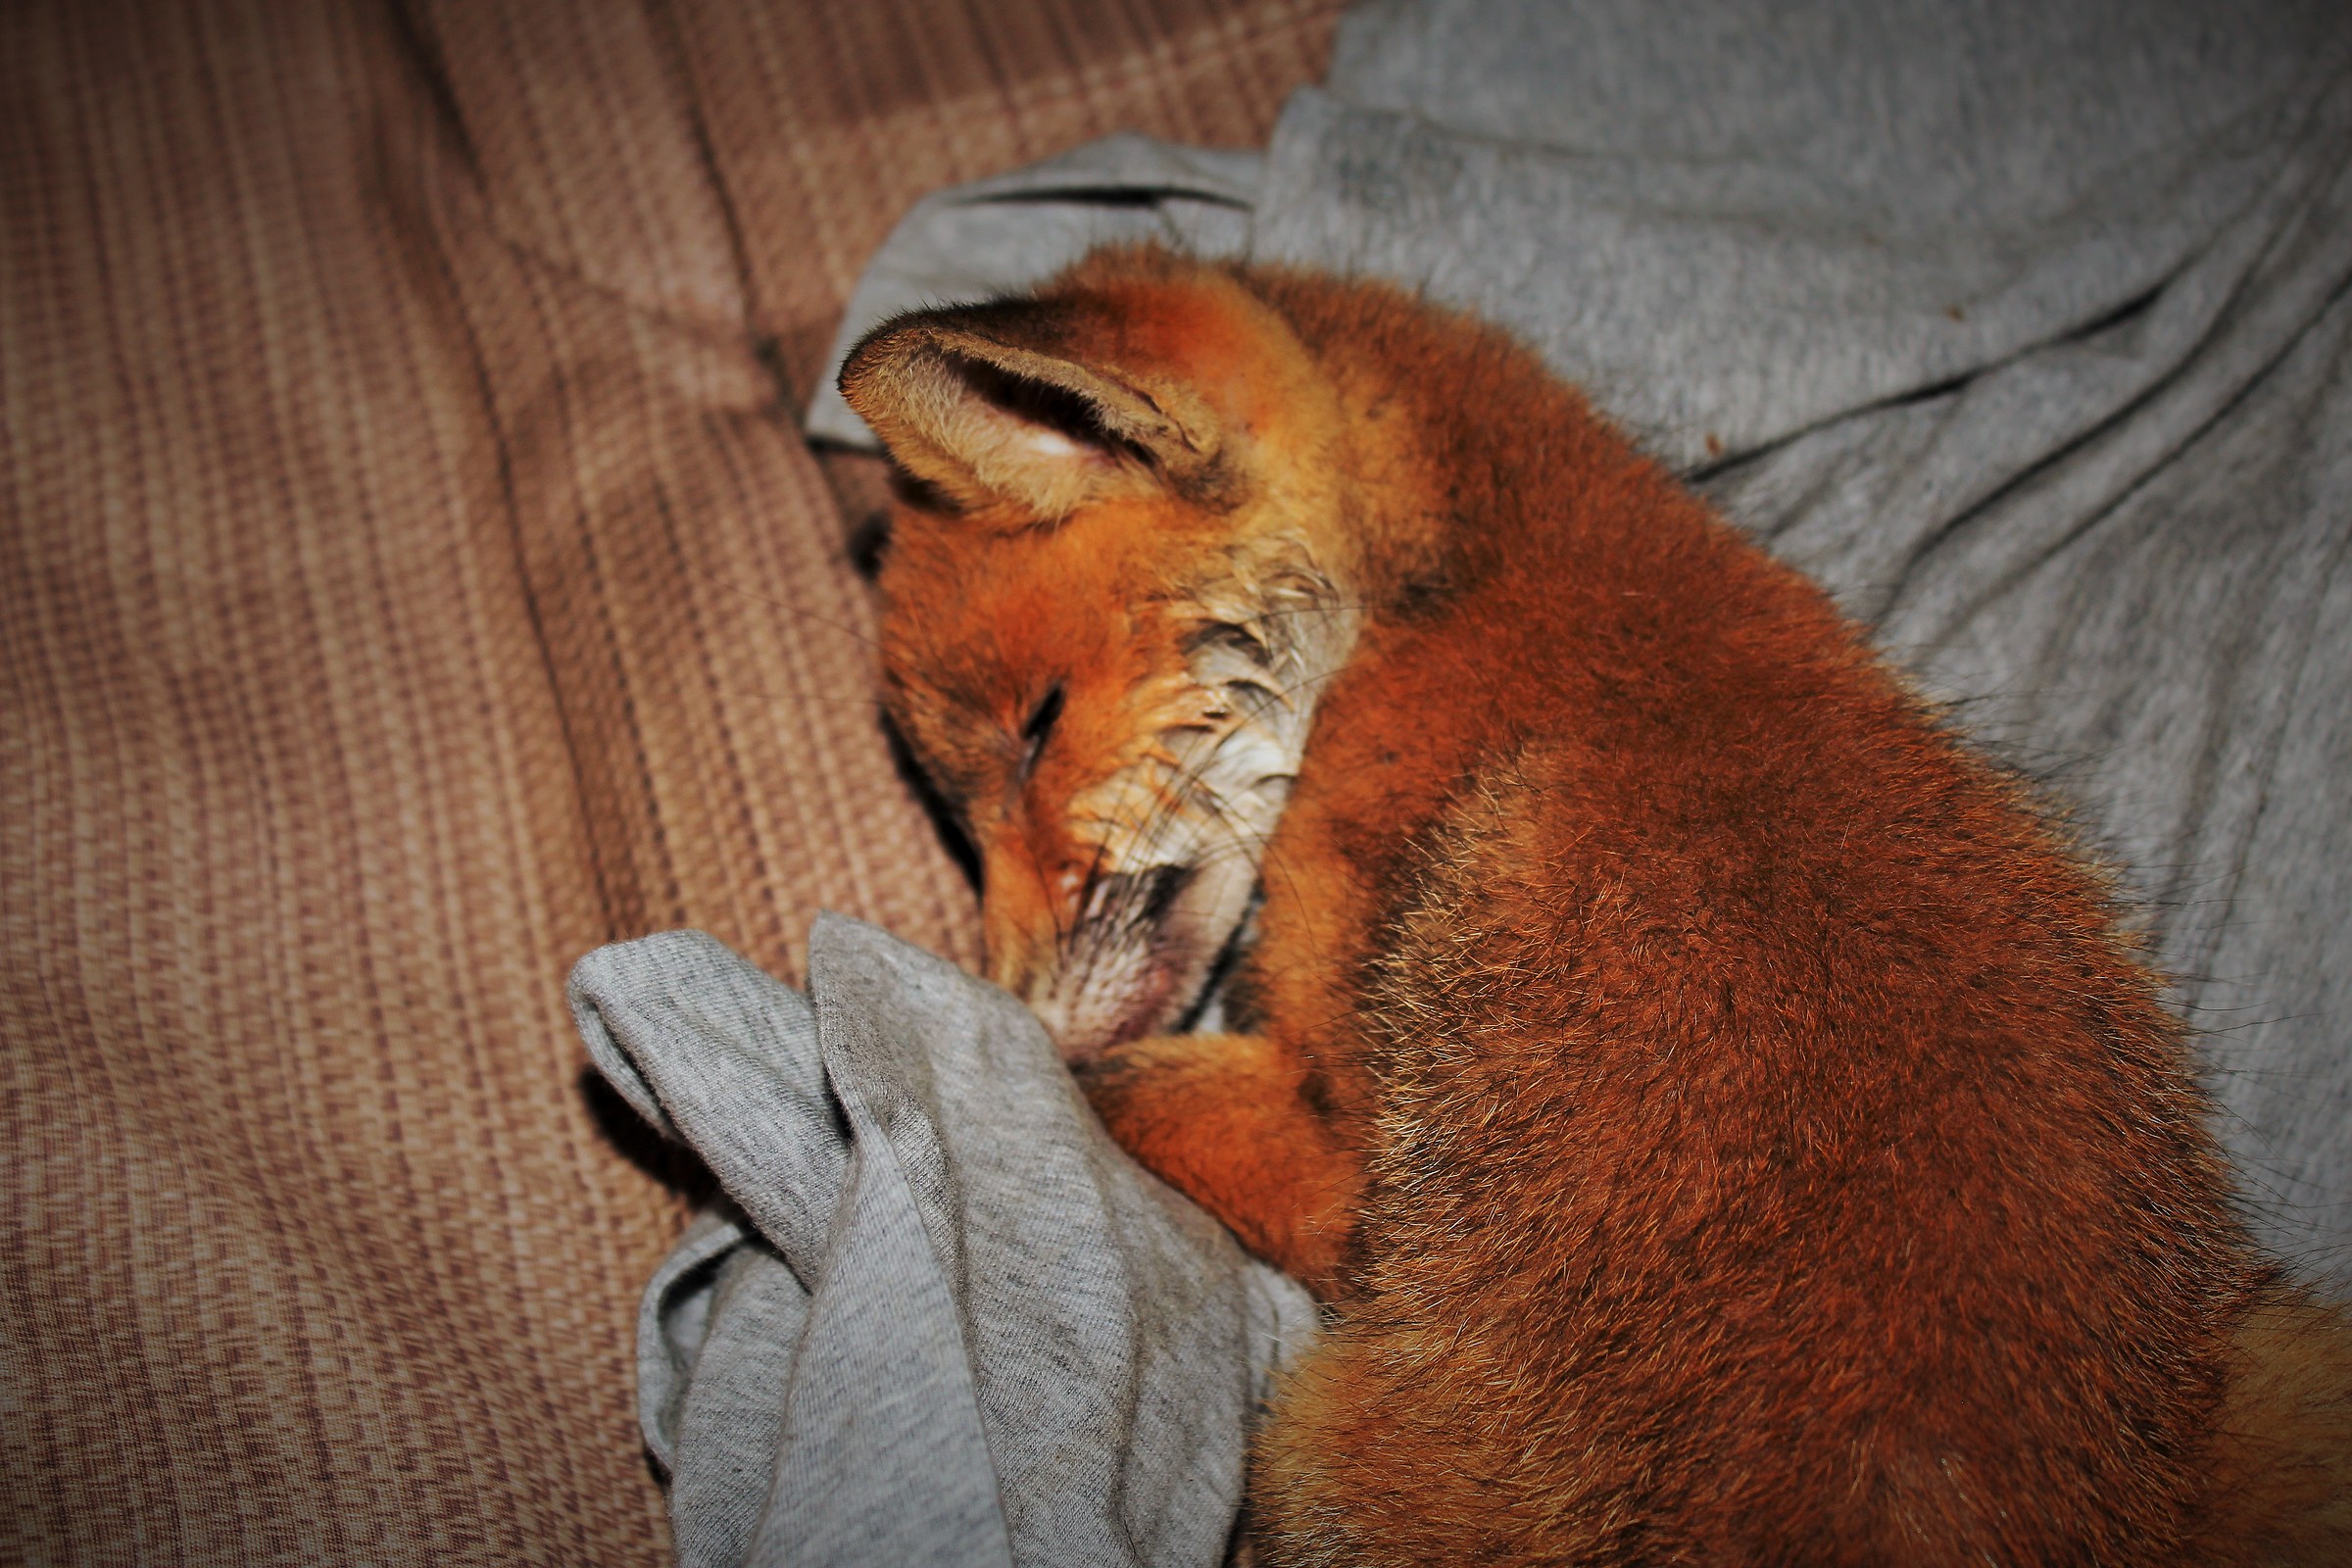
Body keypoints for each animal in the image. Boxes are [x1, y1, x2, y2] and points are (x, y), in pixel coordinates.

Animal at [836, 245, 2352, 1565]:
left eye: (1033, 733)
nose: (1027, 1017)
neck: (1451, 592)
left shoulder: (1348, 1134)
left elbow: (1174, 1115)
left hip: (1316, 1436)